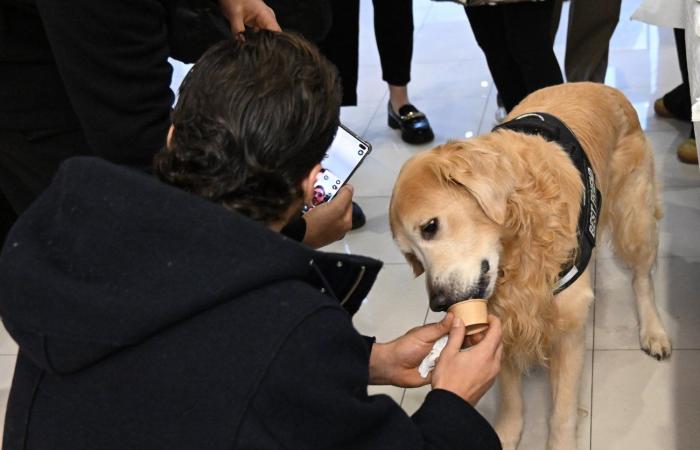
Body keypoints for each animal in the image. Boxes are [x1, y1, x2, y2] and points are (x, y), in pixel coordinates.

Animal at [392, 81, 668, 450]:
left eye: (430, 227)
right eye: (410, 256)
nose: (438, 303)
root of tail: (602, 87)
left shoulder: (568, 328)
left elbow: (562, 411)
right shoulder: (504, 322)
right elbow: (511, 400)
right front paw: (506, 435)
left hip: (634, 218)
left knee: (641, 276)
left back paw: (654, 331)